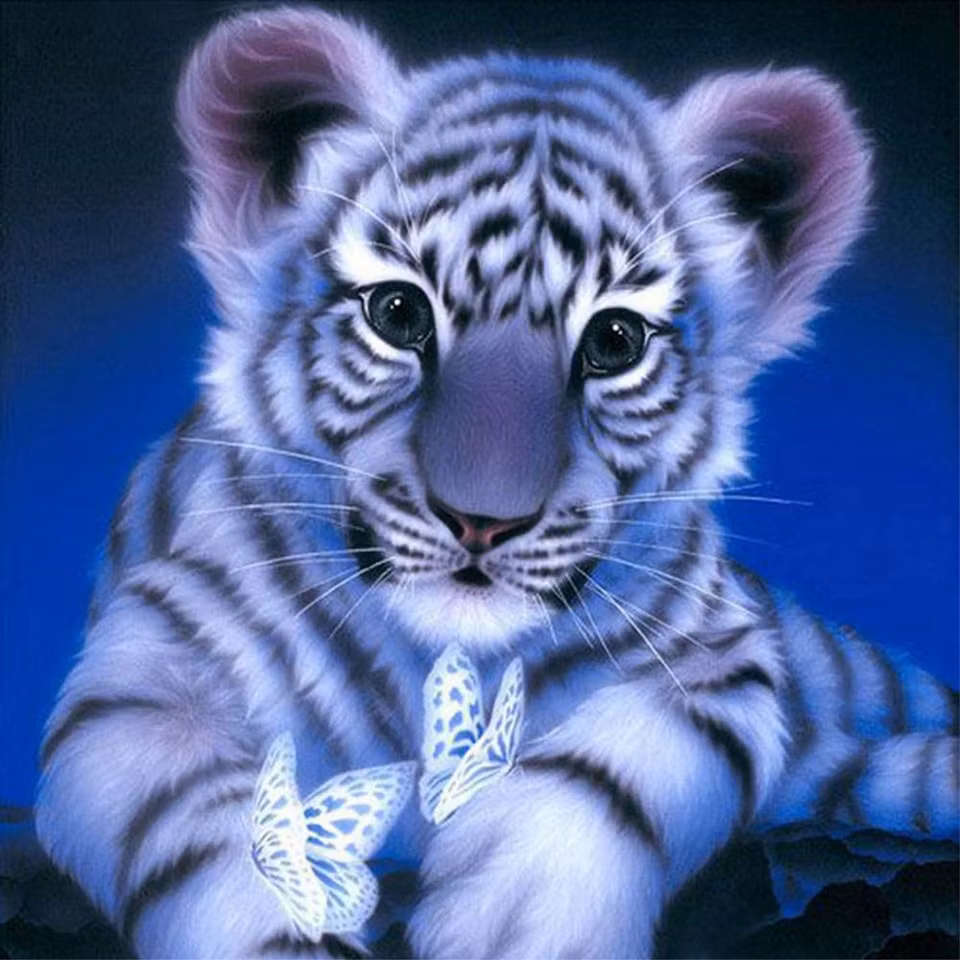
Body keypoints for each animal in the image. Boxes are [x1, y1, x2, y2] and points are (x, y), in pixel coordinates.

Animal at [35, 6, 958, 959]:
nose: (482, 521)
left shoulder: (724, 654)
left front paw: (521, 911)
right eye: (397, 313)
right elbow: (213, 826)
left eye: (615, 341)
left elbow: (622, 762)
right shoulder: (144, 673)